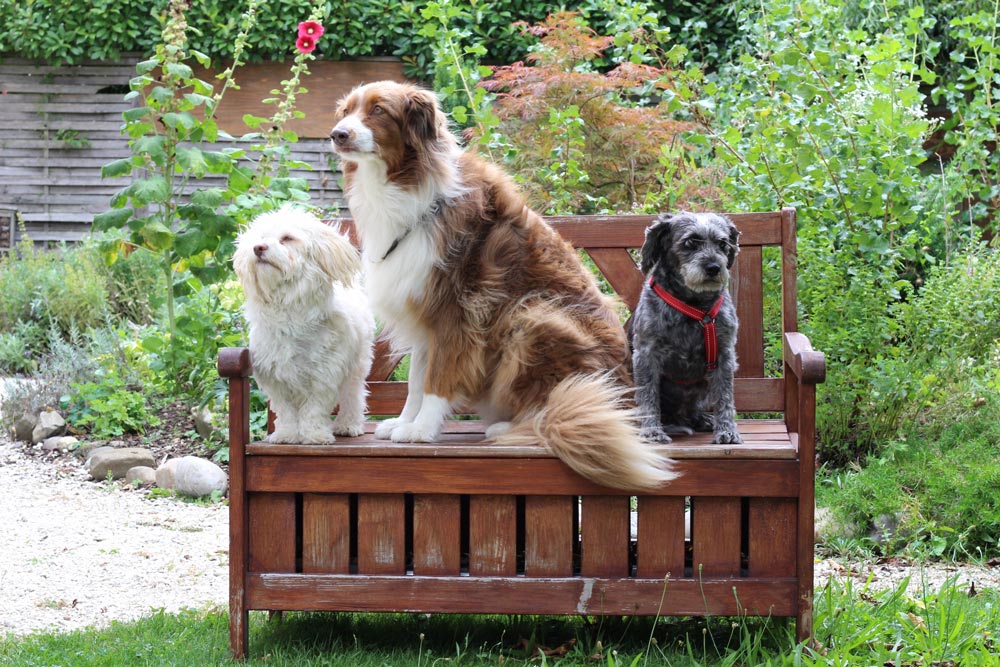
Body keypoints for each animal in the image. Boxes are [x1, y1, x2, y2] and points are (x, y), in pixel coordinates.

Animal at [233, 206, 376, 446]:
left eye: (287, 238)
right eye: (261, 237)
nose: (258, 247)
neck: (289, 306)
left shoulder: (324, 373)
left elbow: (314, 409)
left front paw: (315, 435)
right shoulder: (275, 374)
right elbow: (286, 411)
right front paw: (286, 435)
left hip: (357, 364)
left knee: (353, 395)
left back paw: (348, 424)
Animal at [332, 82, 676, 490]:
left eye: (378, 111)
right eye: (346, 111)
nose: (337, 134)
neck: (407, 184)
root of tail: (623, 399)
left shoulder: (457, 312)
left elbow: (437, 378)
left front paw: (422, 430)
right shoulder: (425, 315)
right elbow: (417, 379)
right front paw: (404, 421)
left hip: (534, 314)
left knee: (559, 404)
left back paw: (512, 425)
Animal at [632, 211, 744, 446]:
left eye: (722, 244)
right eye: (690, 242)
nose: (714, 267)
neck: (693, 305)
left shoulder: (724, 354)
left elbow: (724, 396)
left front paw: (727, 430)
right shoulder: (645, 355)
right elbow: (648, 395)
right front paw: (652, 431)